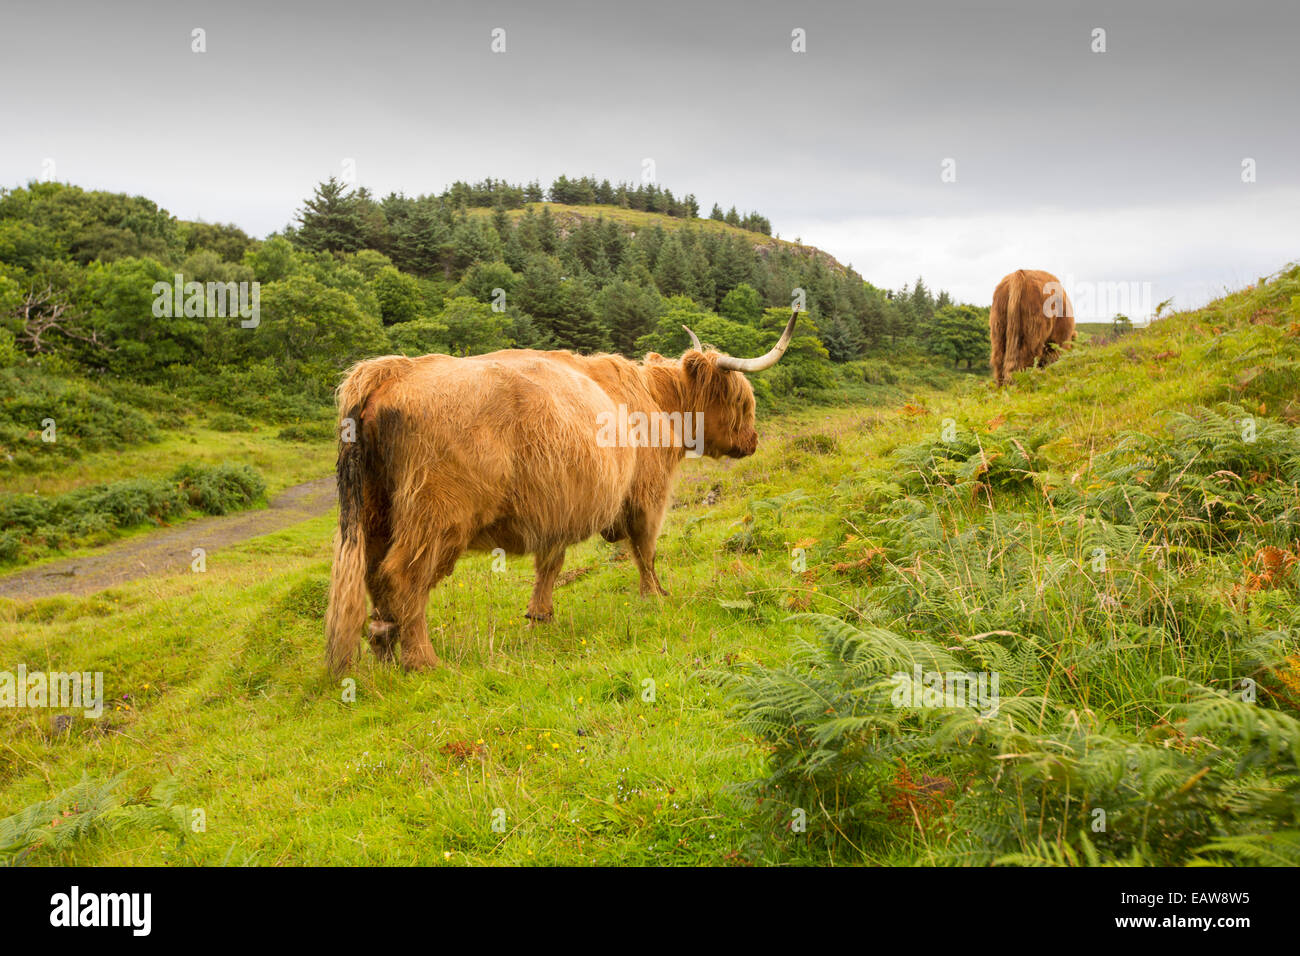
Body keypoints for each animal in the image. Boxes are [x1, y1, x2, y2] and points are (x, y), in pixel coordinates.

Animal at [324, 310, 801, 673]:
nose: (752, 440)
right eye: (743, 400)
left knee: (373, 574)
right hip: (438, 514)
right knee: (403, 576)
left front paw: (540, 615)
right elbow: (645, 551)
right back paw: (423, 661)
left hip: (375, 513)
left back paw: (384, 648)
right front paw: (655, 597)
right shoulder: (647, 496)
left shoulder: (558, 507)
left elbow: (550, 564)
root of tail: (390, 371)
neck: (657, 402)